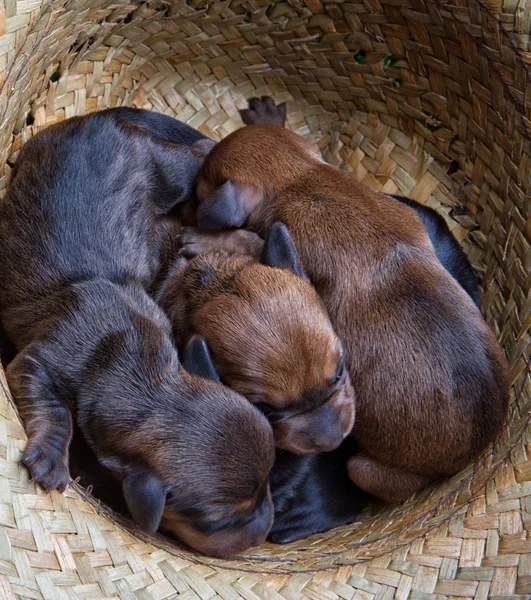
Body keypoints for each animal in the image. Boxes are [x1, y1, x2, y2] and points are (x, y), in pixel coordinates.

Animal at [0, 109, 276, 556]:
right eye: (222, 521)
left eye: (269, 480)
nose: (267, 526)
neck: (133, 371)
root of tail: (101, 119)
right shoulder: (40, 360)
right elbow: (53, 404)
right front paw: (50, 459)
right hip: (161, 168)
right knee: (203, 154)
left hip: (163, 169)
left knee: (203, 154)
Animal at [176, 102, 512, 502]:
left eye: (198, 193)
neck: (302, 179)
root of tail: (464, 462)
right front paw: (267, 118)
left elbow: (249, 240)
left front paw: (206, 239)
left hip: (363, 469)